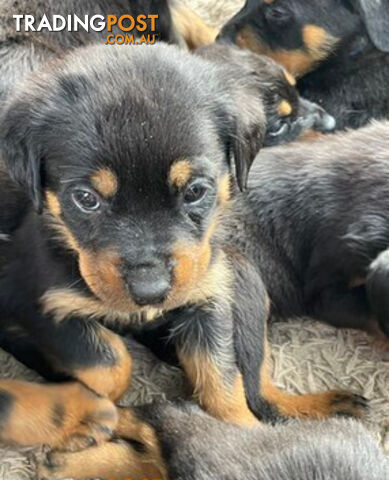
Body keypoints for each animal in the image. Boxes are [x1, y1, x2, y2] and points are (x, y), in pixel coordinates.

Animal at [0, 42, 364, 450]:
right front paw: (88, 406)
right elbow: (110, 364)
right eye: (86, 199)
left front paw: (238, 437)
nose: (150, 292)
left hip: (243, 278)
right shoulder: (37, 299)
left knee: (259, 389)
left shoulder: (209, 293)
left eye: (195, 191)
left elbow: (223, 382)